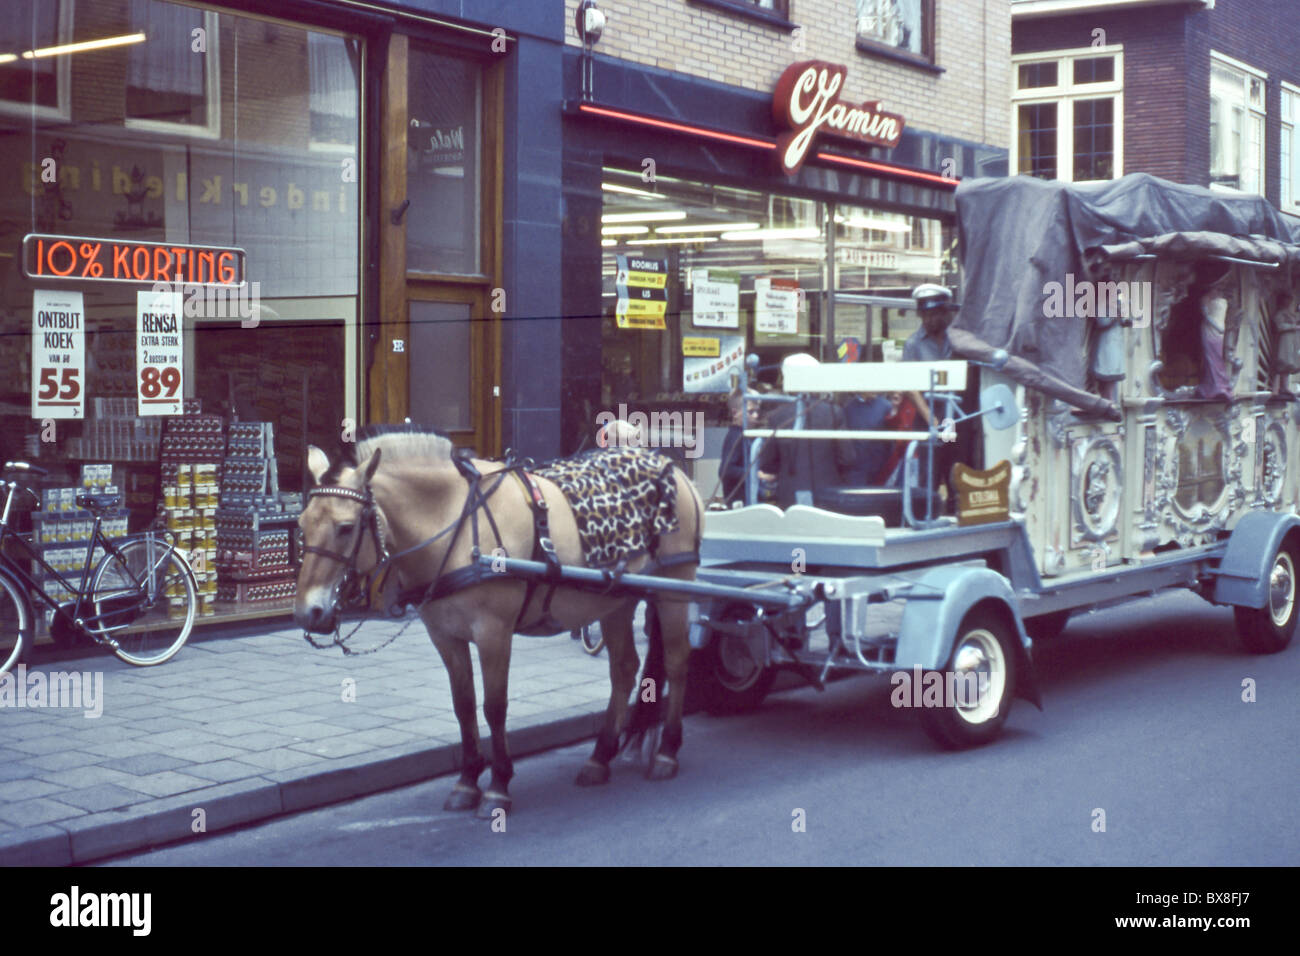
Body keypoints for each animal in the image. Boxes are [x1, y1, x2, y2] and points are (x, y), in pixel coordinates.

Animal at [291, 429, 707, 816]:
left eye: (346, 528)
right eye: (301, 524)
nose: (309, 613)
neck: (455, 522)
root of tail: (674, 469)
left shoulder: (494, 632)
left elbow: (494, 706)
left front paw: (498, 785)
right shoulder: (445, 636)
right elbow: (463, 703)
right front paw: (467, 780)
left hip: (675, 587)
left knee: (676, 661)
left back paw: (667, 751)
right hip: (616, 600)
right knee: (623, 669)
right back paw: (600, 757)